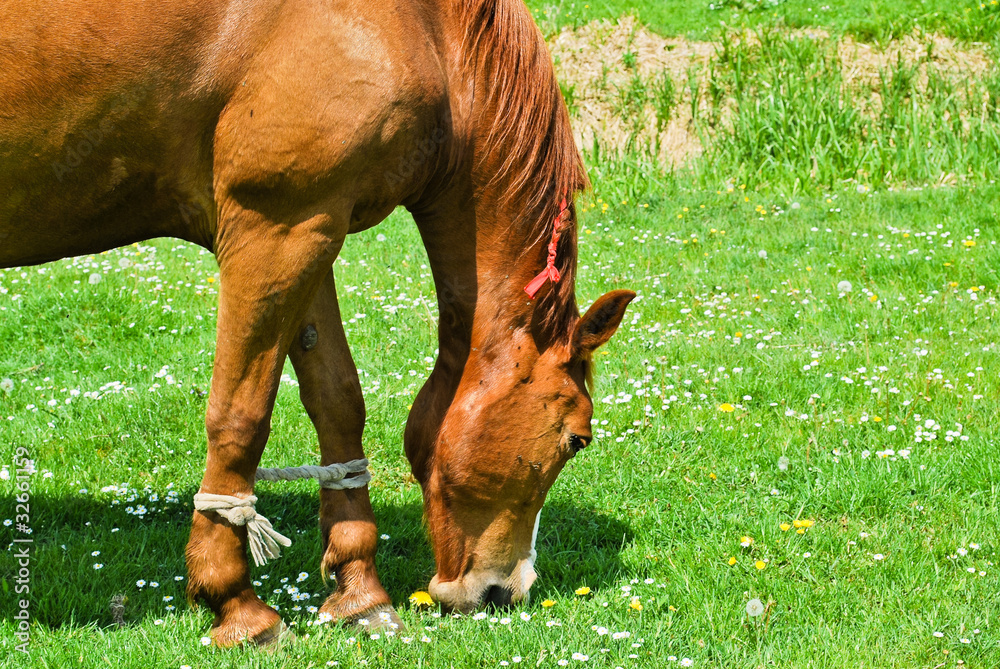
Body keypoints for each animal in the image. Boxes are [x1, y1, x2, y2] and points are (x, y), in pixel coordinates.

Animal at [0, 0, 635, 646]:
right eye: (577, 439)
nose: (504, 592)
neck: (424, 31)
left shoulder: (313, 226)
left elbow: (338, 401)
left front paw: (359, 593)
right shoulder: (274, 228)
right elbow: (240, 416)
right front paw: (235, 603)